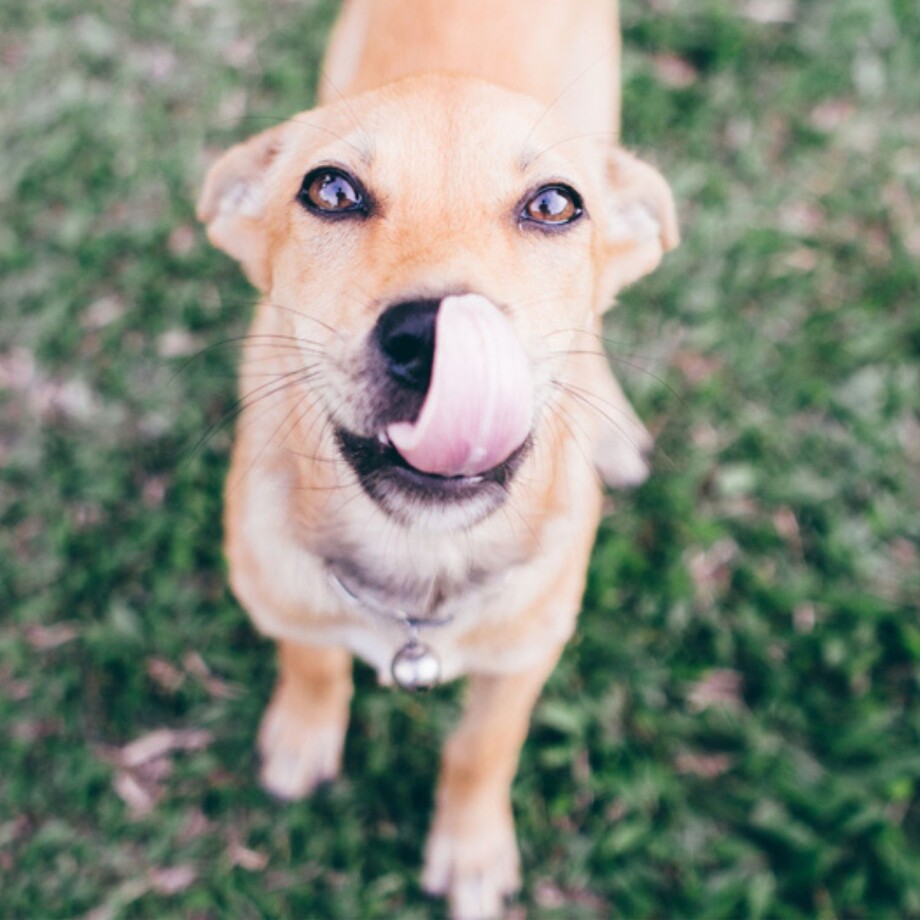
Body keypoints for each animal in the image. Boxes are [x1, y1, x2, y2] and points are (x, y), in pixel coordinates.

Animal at [199, 3, 676, 916]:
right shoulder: (281, 595)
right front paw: (303, 735)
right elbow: (312, 662)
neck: (417, 564)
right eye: (331, 191)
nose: (433, 338)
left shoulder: (526, 656)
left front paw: (472, 848)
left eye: (555, 203)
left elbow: (483, 748)